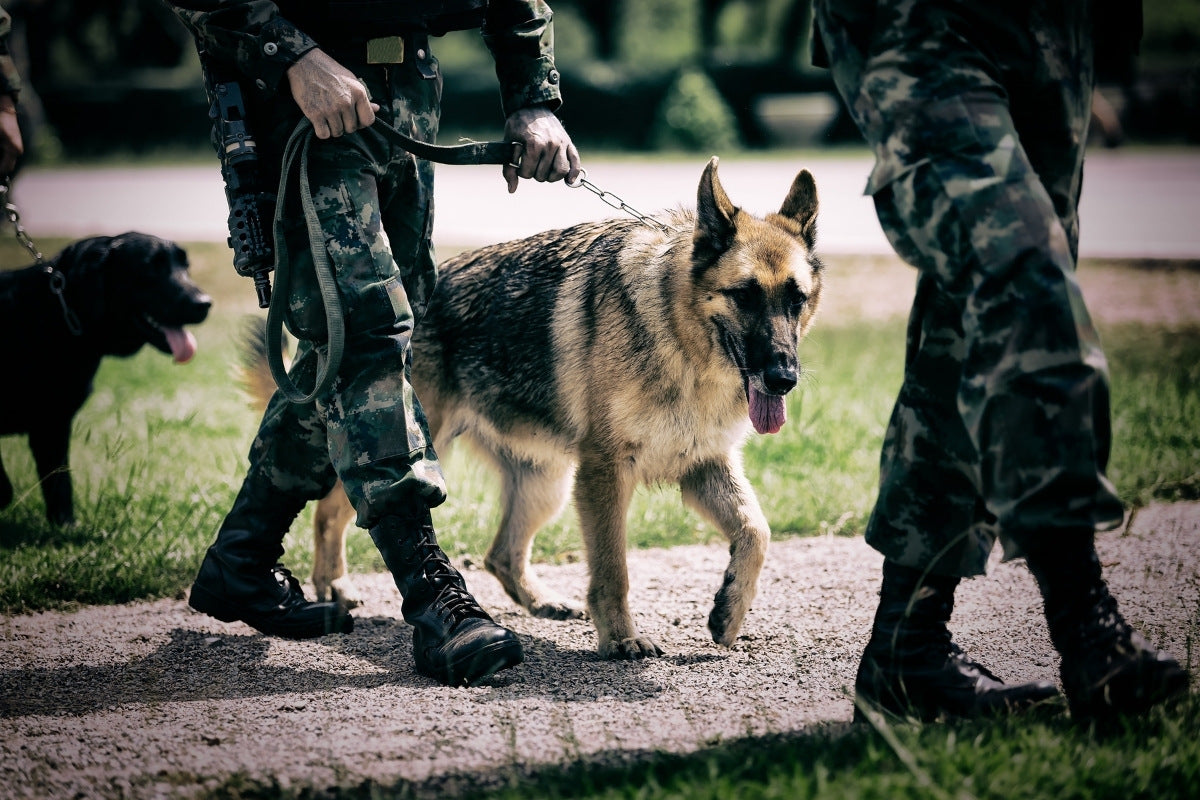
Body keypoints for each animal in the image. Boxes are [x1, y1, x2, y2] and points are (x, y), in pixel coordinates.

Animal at [1, 232, 212, 525]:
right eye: (151, 267)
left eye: (185, 267)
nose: (204, 303)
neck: (56, 314)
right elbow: (8, 489)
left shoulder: (53, 424)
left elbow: (59, 484)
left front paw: (65, 527)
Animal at [248, 159, 820, 662]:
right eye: (745, 295)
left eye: (796, 299)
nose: (784, 378)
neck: (680, 338)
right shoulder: (606, 475)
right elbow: (613, 570)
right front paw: (621, 639)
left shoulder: (702, 466)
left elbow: (756, 532)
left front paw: (729, 612)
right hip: (412, 451)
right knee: (333, 509)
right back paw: (334, 586)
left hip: (547, 483)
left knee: (501, 554)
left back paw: (540, 602)